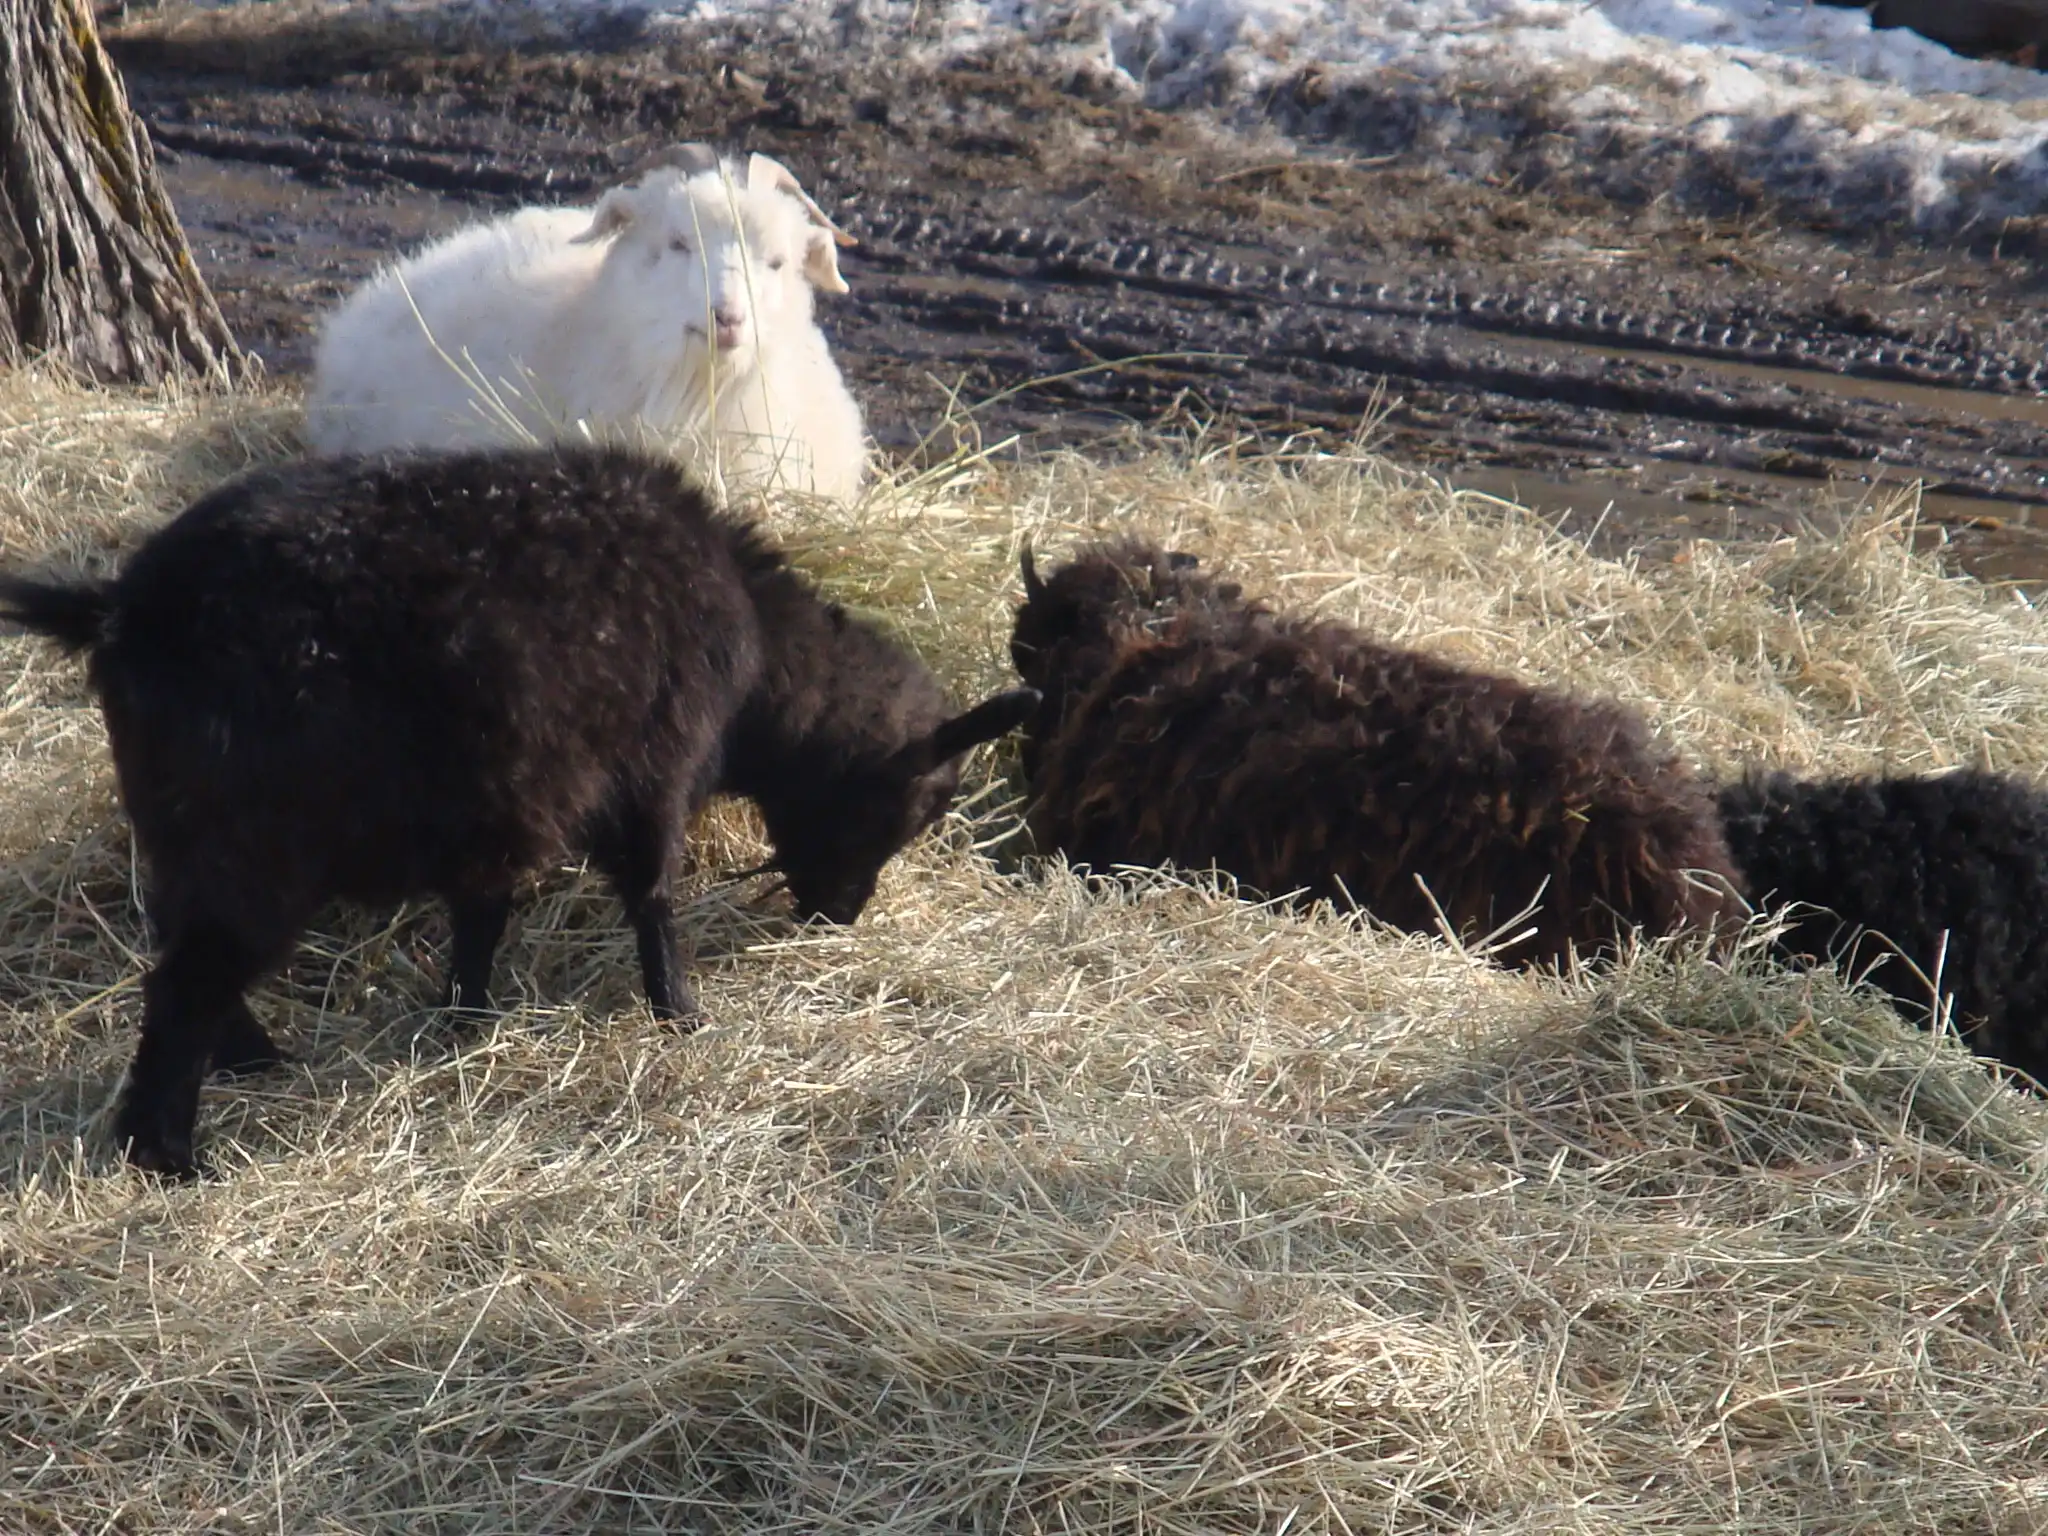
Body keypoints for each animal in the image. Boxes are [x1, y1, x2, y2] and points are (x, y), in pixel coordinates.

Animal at [0, 443, 1036, 1178]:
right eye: (915, 803)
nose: (840, 916)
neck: (755, 661)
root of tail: (123, 607)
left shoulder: (496, 806)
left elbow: (483, 911)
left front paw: (465, 1017)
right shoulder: (650, 773)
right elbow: (652, 896)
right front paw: (680, 1014)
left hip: (180, 823)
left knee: (176, 948)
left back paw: (251, 1062)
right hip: (253, 844)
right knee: (184, 985)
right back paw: (171, 1157)